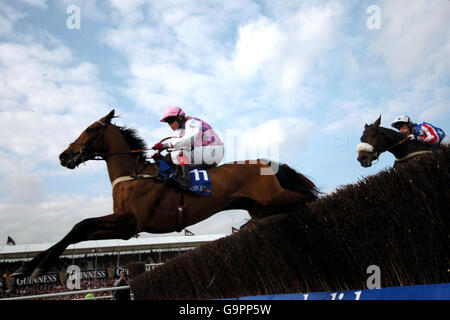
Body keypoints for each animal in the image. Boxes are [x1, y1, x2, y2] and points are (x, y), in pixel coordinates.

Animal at [13, 109, 316, 278]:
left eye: (89, 130)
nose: (64, 156)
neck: (133, 174)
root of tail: (270, 163)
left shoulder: (131, 223)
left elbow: (80, 225)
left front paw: (35, 267)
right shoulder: (125, 224)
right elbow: (78, 230)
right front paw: (27, 267)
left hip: (273, 198)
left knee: (307, 198)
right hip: (261, 205)